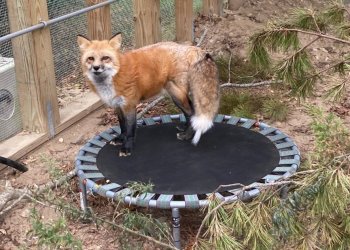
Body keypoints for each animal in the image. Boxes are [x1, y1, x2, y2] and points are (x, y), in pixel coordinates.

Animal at [77, 32, 219, 155]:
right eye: (90, 59)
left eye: (105, 58)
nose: (96, 68)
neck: (114, 76)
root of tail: (188, 47)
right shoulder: (117, 105)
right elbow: (122, 126)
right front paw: (120, 139)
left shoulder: (129, 105)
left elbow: (130, 130)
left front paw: (127, 148)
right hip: (177, 95)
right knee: (192, 111)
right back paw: (185, 128)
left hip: (176, 94)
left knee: (192, 112)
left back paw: (187, 135)